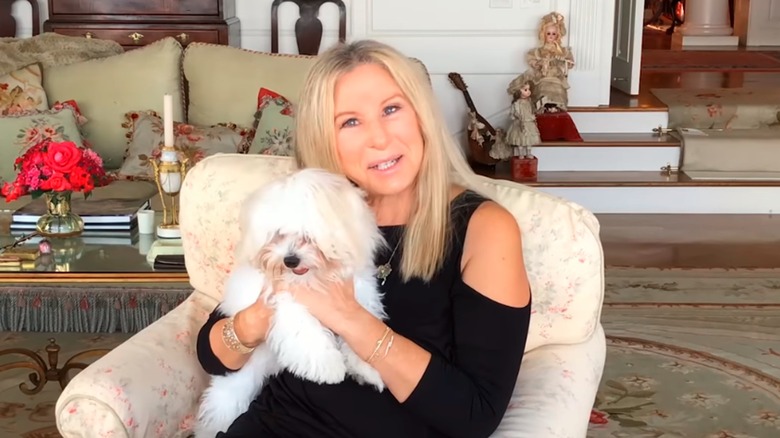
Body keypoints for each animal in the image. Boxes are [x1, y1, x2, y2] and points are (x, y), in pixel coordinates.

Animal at [194, 168, 386, 438]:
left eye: (309, 236)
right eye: (279, 234)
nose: (290, 260)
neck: (314, 279)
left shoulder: (358, 296)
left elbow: (359, 333)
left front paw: (366, 369)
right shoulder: (284, 302)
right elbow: (306, 333)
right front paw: (328, 367)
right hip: (236, 382)